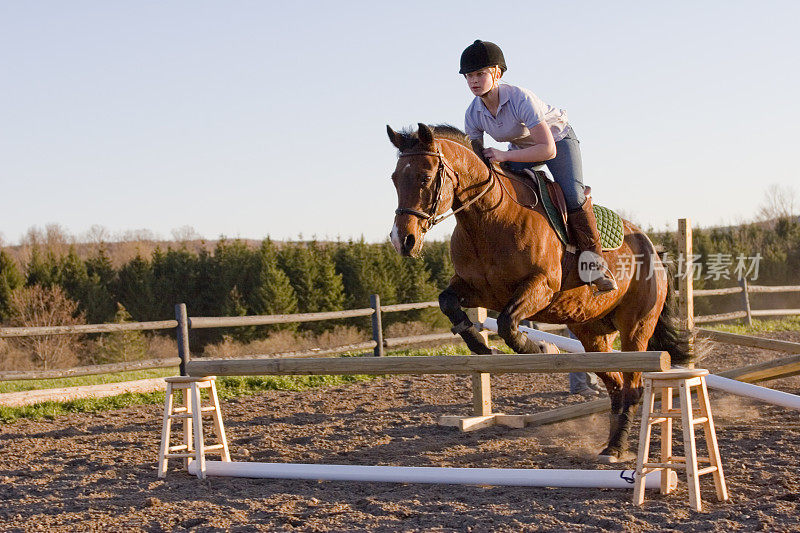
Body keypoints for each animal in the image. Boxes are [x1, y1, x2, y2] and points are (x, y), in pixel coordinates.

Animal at [384, 121, 692, 462]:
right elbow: (448, 302)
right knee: (614, 384)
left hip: (636, 327)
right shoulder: (480, 290)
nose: (402, 241)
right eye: (395, 179)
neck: (489, 218)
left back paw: (617, 447)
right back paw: (612, 442)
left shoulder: (541, 287)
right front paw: (479, 345)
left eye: (424, 178)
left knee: (632, 385)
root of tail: (652, 248)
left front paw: (544, 348)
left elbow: (508, 324)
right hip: (591, 332)